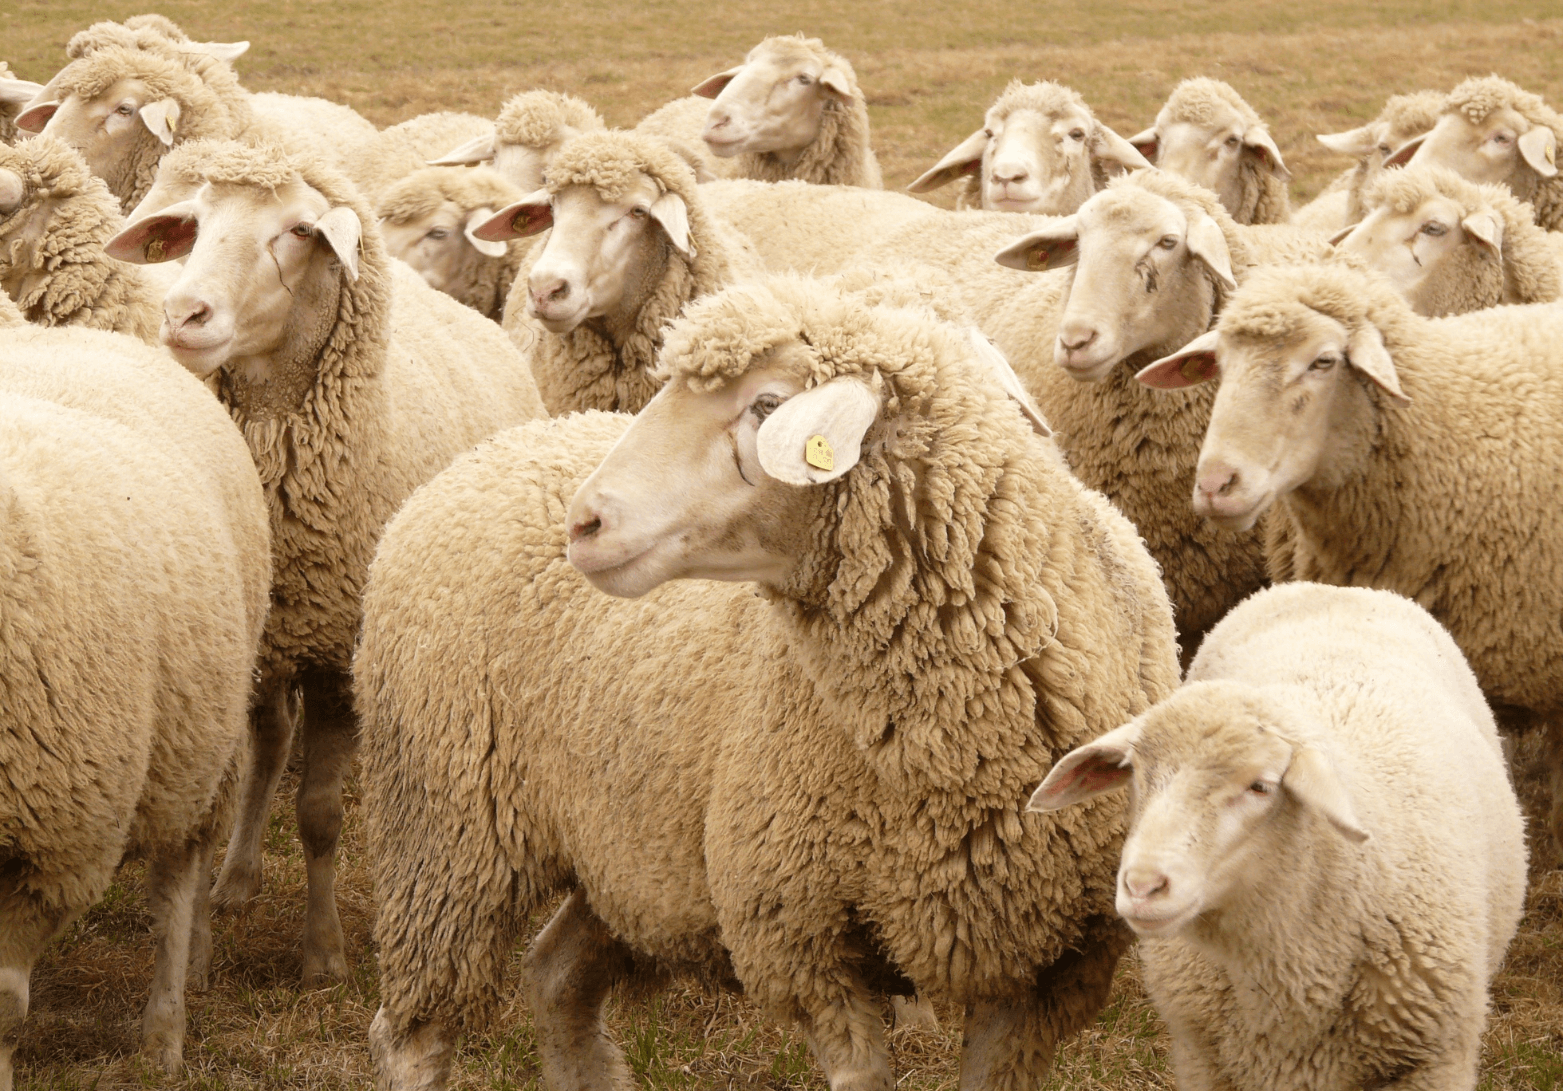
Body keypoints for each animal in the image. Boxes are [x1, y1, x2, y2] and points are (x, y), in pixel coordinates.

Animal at [0, 321, 270, 1080]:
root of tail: (80, 332)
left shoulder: (50, 852)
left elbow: (4, 1006)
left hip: (198, 748)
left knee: (176, 888)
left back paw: (163, 1037)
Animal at [360, 272, 1180, 1091]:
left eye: (765, 406)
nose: (584, 524)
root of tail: (488, 453)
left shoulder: (1047, 969)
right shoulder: (801, 938)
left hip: (627, 852)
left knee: (555, 977)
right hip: (447, 835)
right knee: (412, 1031)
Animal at [1032, 582, 1527, 1091]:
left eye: (1261, 786)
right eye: (1136, 772)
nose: (1142, 887)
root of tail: (1336, 588)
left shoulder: (1432, 1063)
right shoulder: (1204, 1061)